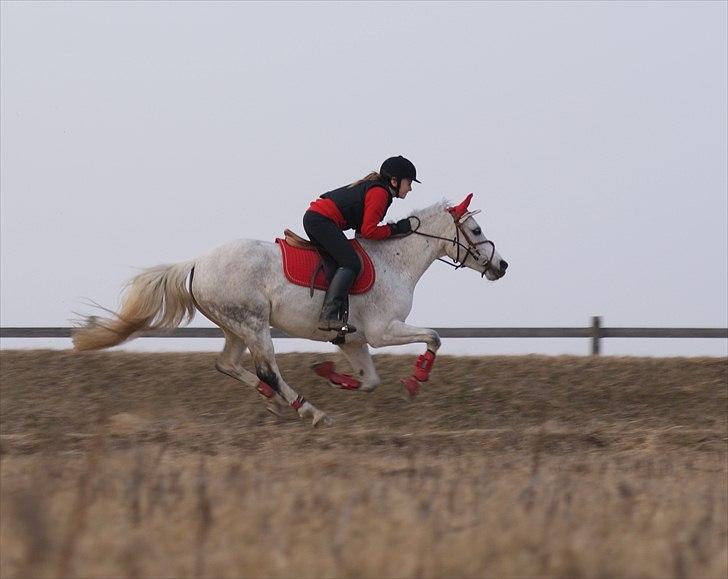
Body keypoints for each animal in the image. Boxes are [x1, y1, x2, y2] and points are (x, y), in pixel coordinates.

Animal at [72, 193, 508, 426]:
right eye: (476, 231)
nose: (501, 266)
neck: (394, 260)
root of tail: (196, 263)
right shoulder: (384, 330)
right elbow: (434, 337)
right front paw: (417, 379)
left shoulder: (355, 340)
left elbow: (369, 380)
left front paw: (332, 374)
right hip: (254, 324)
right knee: (268, 369)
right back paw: (309, 411)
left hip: (236, 326)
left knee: (228, 364)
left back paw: (276, 401)